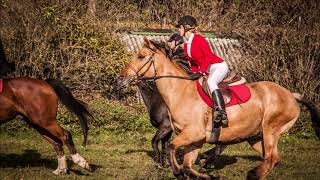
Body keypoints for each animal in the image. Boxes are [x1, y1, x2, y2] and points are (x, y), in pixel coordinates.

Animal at [115, 38, 320, 179]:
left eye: (141, 56)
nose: (120, 78)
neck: (180, 92)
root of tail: (291, 95)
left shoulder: (192, 133)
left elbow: (171, 147)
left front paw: (176, 171)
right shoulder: (194, 140)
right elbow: (187, 165)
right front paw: (206, 174)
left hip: (271, 130)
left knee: (270, 157)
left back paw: (251, 173)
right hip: (255, 137)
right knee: (272, 158)